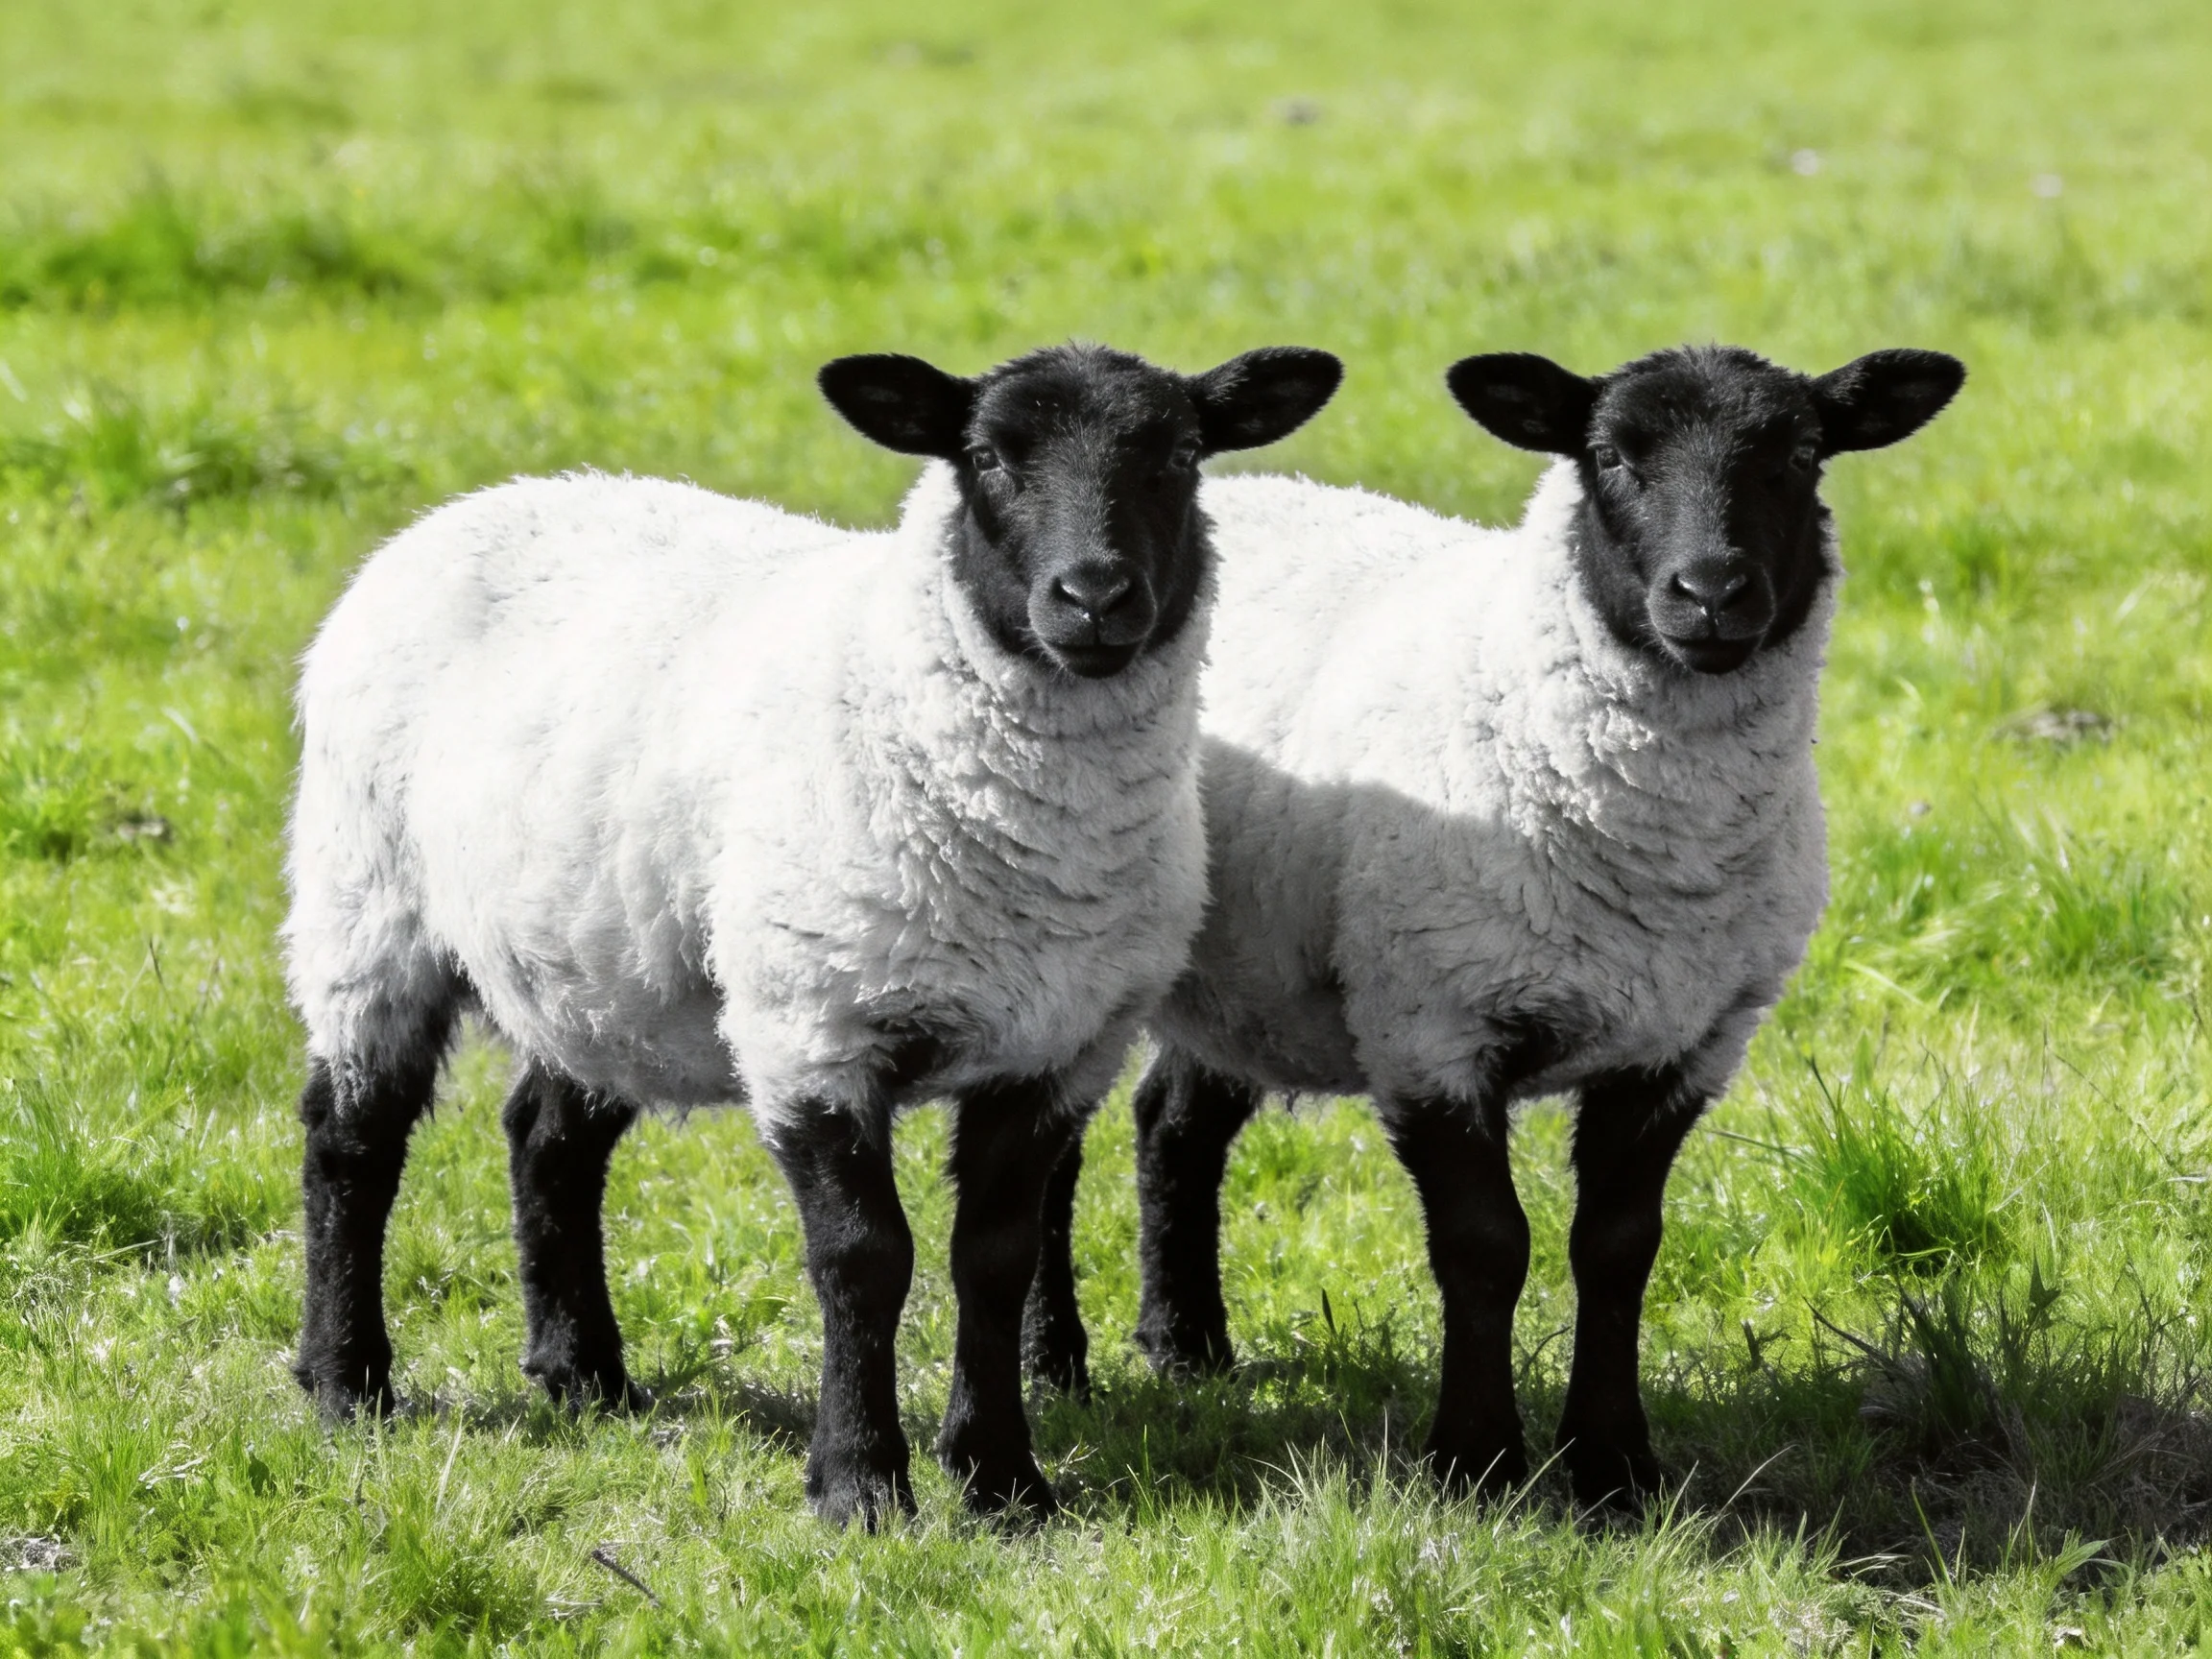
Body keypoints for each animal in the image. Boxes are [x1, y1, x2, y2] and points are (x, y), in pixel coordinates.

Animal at [280, 341, 1344, 1525]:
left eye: (1181, 453)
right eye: (986, 456)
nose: (1096, 596)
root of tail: (476, 503)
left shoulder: (1058, 1049)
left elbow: (996, 1256)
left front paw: (1001, 1480)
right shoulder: (813, 1025)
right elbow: (864, 1258)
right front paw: (861, 1484)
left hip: (602, 956)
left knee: (547, 1136)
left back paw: (584, 1374)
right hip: (367, 899)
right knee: (351, 1137)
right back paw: (346, 1381)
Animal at [1023, 344, 1965, 1510]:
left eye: (1798, 454)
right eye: (1612, 456)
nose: (1709, 594)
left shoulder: (1687, 1043)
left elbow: (1618, 1246)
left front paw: (1612, 1468)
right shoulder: (1432, 1021)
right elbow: (1486, 1246)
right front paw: (1475, 1463)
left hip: (1252, 963)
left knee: (1173, 1125)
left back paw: (1189, 1347)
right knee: (1056, 1157)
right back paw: (1055, 1365)